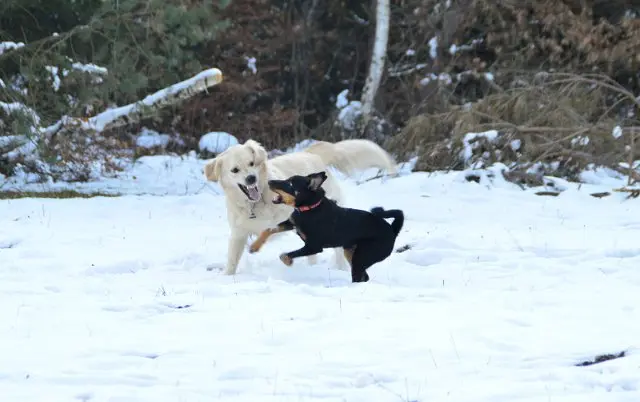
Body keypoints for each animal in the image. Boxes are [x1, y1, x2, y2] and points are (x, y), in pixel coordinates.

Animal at [248, 170, 402, 282]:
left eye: (290, 184)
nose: (269, 181)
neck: (310, 208)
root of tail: (392, 230)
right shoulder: (292, 223)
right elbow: (268, 229)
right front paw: (254, 247)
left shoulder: (314, 246)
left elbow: (285, 255)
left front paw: (288, 262)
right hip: (350, 252)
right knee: (364, 276)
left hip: (362, 256)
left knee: (359, 277)